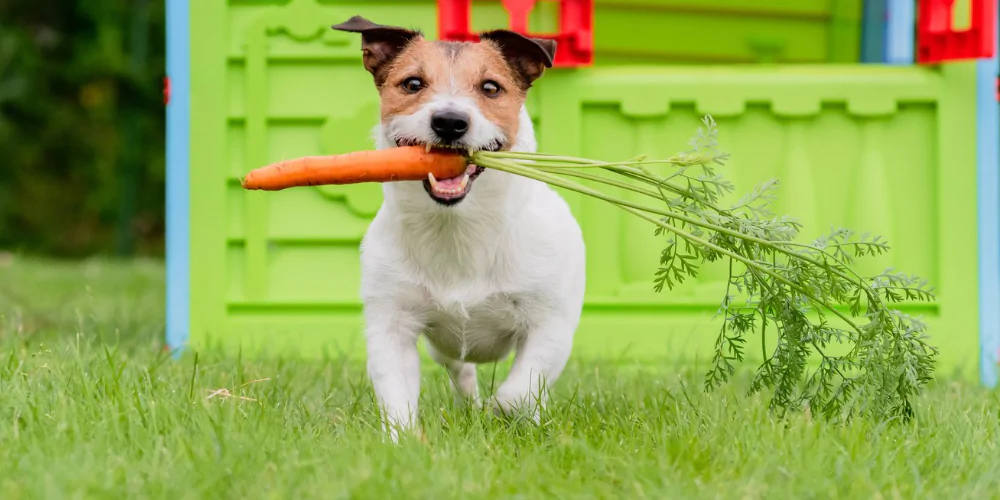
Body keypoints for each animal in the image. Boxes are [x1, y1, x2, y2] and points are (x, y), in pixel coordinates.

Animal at [332, 15, 588, 438]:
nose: (450, 122)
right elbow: (395, 395)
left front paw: (503, 414)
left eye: (490, 87)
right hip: (443, 346)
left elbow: (518, 391)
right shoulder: (391, 323)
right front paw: (403, 441)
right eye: (413, 83)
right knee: (461, 370)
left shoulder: (551, 325)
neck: (458, 229)